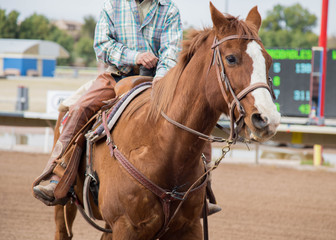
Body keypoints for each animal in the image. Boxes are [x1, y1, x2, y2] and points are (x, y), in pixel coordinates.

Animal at [53, 2, 280, 240]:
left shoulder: (190, 227)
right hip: (64, 206)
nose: (267, 118)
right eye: (231, 58)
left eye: (269, 61)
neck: (159, 145)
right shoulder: (125, 227)